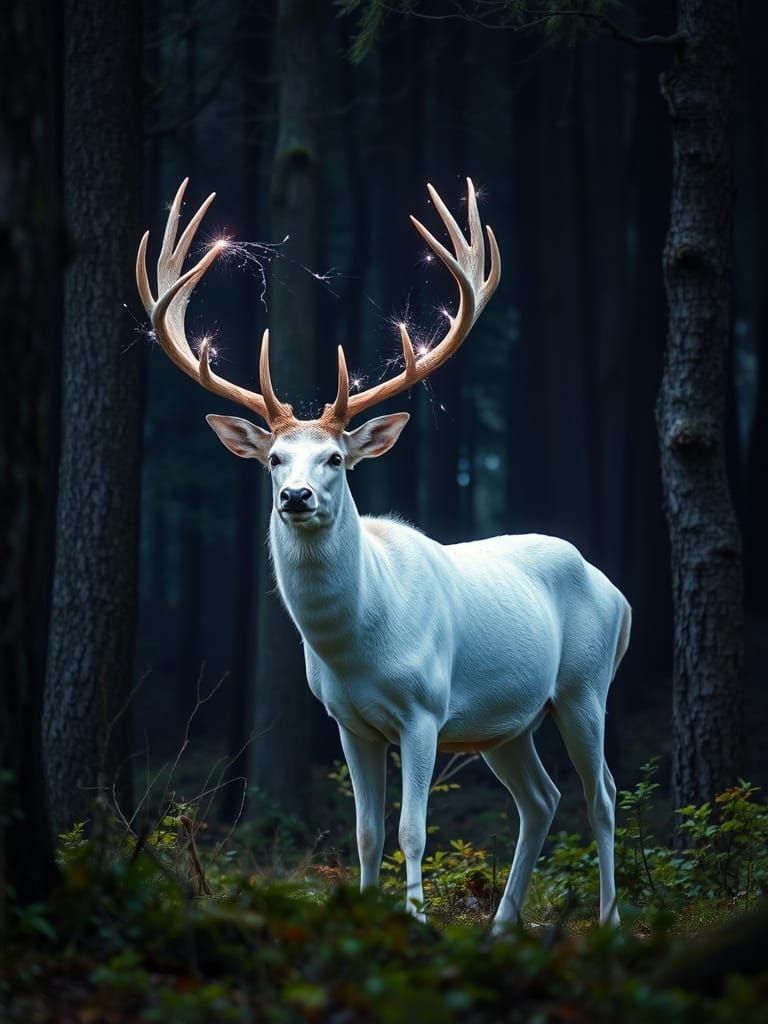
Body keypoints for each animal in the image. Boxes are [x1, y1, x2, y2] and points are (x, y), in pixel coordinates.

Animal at [136, 178, 631, 930]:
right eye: (274, 459)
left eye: (336, 458)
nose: (298, 496)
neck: (362, 639)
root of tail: (618, 593)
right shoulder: (348, 720)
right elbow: (367, 831)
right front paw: (367, 916)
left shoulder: (425, 708)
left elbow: (412, 830)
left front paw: (417, 922)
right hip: (508, 721)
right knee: (541, 799)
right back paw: (500, 925)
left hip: (584, 685)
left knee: (600, 795)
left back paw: (608, 921)